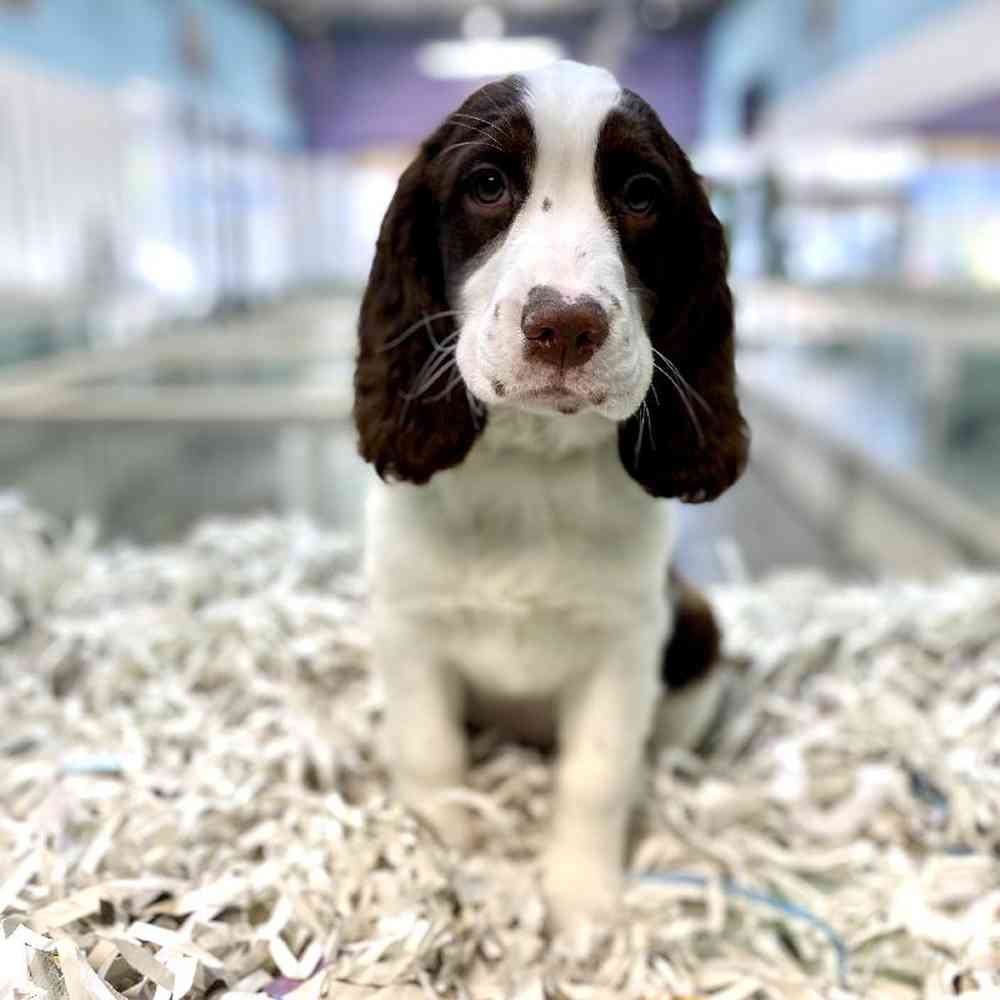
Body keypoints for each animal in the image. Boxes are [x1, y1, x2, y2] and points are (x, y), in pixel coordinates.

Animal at [356, 58, 748, 924]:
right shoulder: (407, 625)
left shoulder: (628, 645)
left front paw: (583, 903)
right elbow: (429, 750)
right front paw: (438, 847)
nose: (565, 327)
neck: (530, 467)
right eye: (488, 184)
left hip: (697, 628)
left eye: (640, 194)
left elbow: (596, 775)